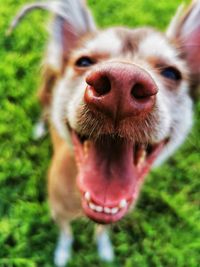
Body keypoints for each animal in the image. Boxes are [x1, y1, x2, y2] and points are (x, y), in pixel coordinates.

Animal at [9, 0, 200, 266]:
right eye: (83, 62)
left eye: (172, 73)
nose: (122, 82)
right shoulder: (58, 211)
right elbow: (66, 234)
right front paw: (62, 253)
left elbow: (103, 230)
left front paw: (104, 249)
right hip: (45, 89)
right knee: (44, 108)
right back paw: (39, 128)